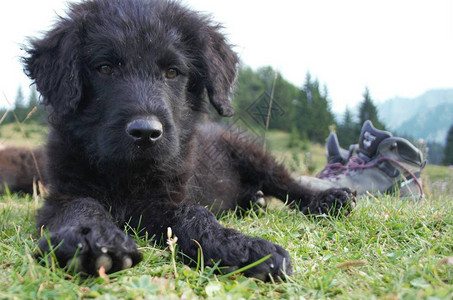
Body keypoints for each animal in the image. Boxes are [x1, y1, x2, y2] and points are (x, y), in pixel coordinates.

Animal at [24, 0, 354, 282]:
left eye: (172, 72)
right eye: (105, 68)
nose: (146, 133)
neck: (127, 174)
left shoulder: (168, 198)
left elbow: (194, 214)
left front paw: (243, 247)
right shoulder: (64, 192)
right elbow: (81, 206)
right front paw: (92, 238)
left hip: (250, 152)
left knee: (285, 183)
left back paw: (328, 199)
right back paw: (255, 200)